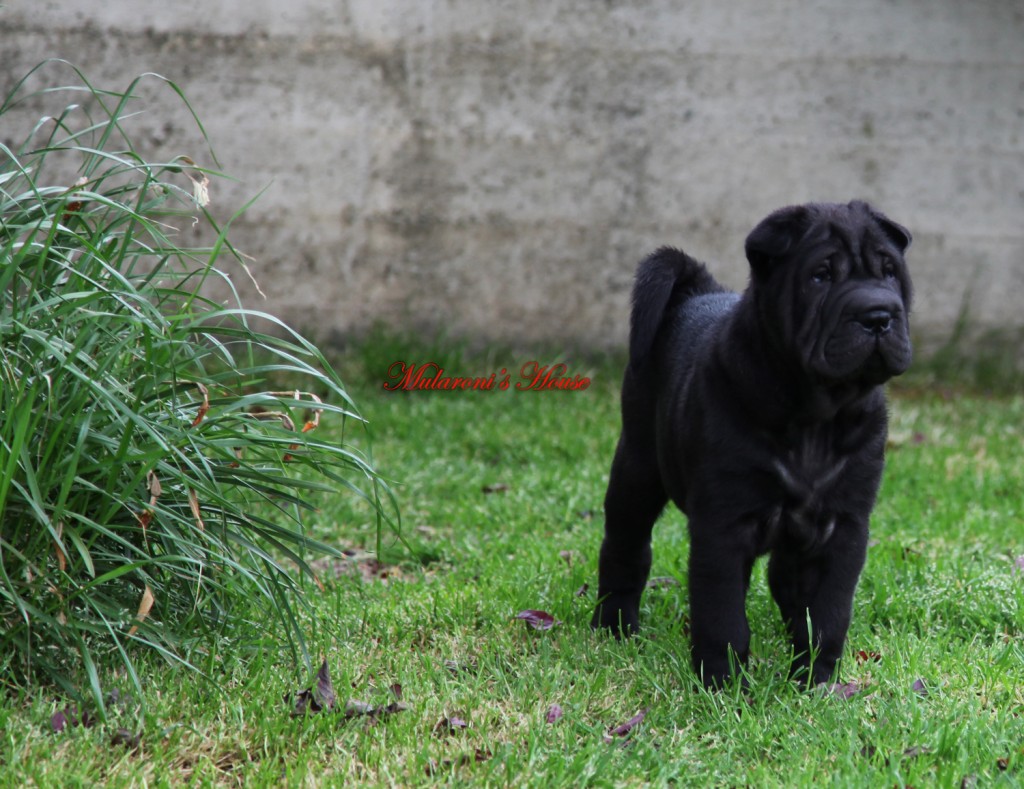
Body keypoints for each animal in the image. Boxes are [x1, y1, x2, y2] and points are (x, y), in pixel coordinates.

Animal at [593, 200, 913, 687]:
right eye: (821, 276)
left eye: (890, 271)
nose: (878, 314)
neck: (817, 415)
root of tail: (697, 292)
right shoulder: (725, 524)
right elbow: (722, 614)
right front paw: (722, 686)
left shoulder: (842, 525)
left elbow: (827, 614)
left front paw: (815, 682)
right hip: (637, 466)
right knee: (625, 546)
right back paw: (613, 625)